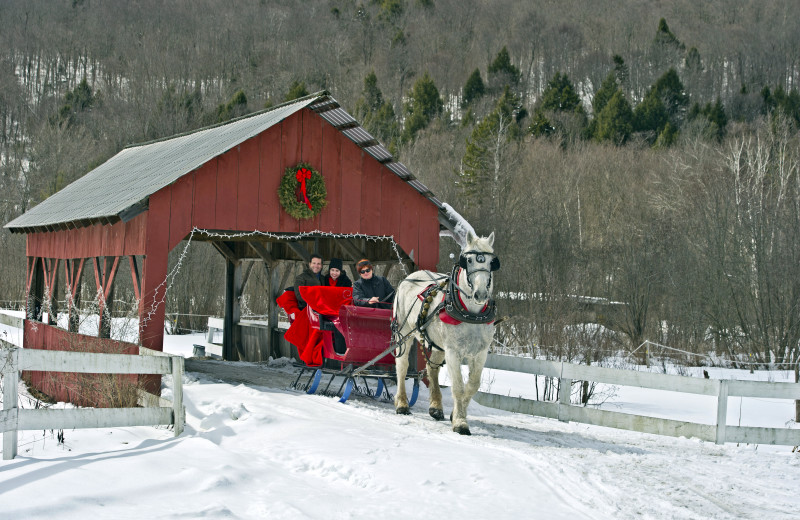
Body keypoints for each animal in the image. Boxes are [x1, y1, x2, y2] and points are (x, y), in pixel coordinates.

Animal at [390, 232, 496, 434]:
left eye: (491, 262)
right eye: (468, 260)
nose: (480, 294)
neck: (471, 314)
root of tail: (410, 277)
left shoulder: (480, 353)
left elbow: (472, 385)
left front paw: (456, 414)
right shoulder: (453, 351)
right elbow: (458, 387)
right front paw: (460, 423)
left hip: (438, 344)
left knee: (432, 369)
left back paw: (436, 408)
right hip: (404, 332)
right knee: (402, 366)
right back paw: (402, 404)